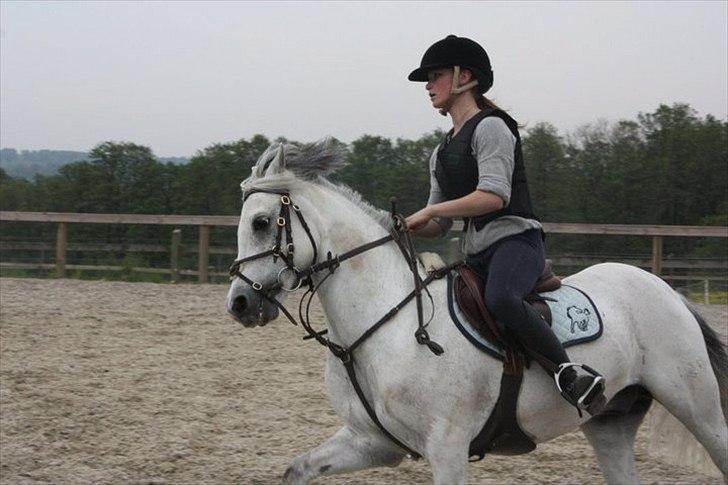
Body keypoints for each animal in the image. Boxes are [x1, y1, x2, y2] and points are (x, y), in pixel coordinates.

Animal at [225, 140, 728, 484]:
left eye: (262, 222)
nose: (239, 303)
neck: (385, 326)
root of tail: (664, 289)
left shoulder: (447, 447)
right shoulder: (371, 442)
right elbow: (298, 469)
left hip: (696, 405)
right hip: (610, 423)